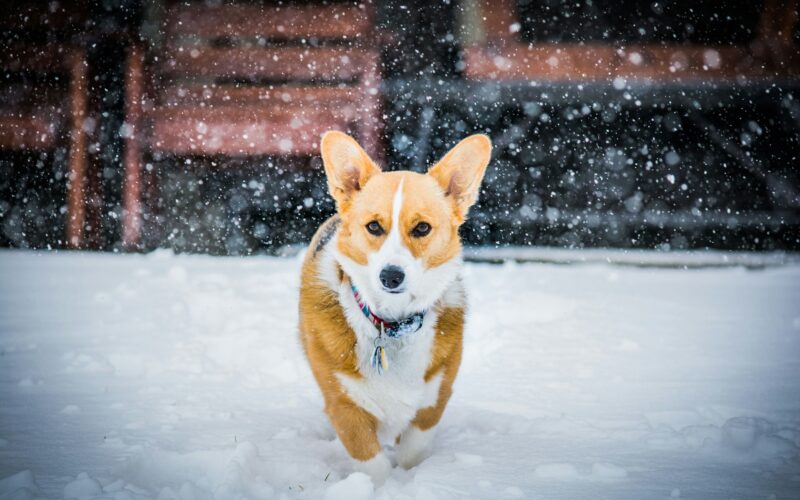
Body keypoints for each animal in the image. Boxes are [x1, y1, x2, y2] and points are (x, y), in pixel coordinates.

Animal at [296, 131, 490, 482]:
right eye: (374, 227)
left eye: (422, 228)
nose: (391, 276)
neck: (391, 323)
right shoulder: (344, 406)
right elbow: (373, 465)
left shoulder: (432, 401)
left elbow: (412, 452)